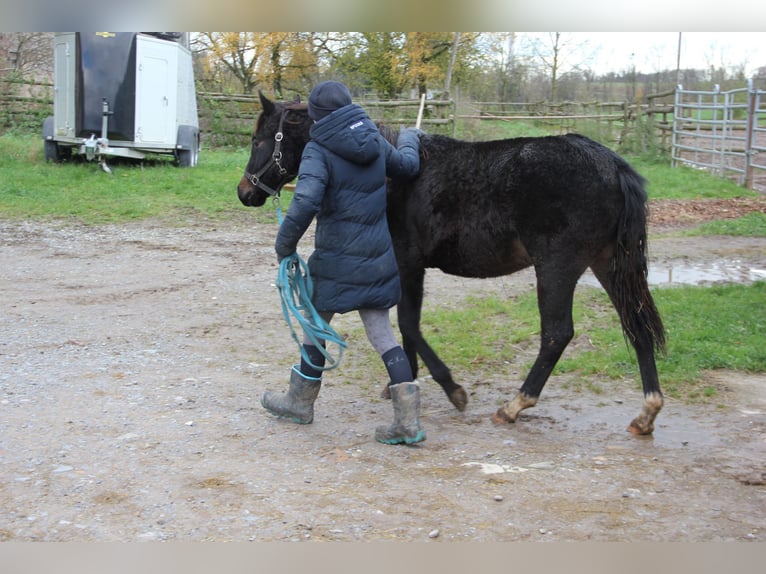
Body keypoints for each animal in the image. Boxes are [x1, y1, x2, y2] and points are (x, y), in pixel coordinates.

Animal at [238, 94, 664, 436]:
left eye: (259, 140)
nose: (245, 192)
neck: (393, 173)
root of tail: (614, 166)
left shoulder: (409, 264)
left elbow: (409, 325)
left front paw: (451, 389)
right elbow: (404, 329)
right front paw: (401, 383)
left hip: (557, 269)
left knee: (557, 335)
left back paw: (515, 405)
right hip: (608, 265)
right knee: (637, 325)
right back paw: (647, 411)